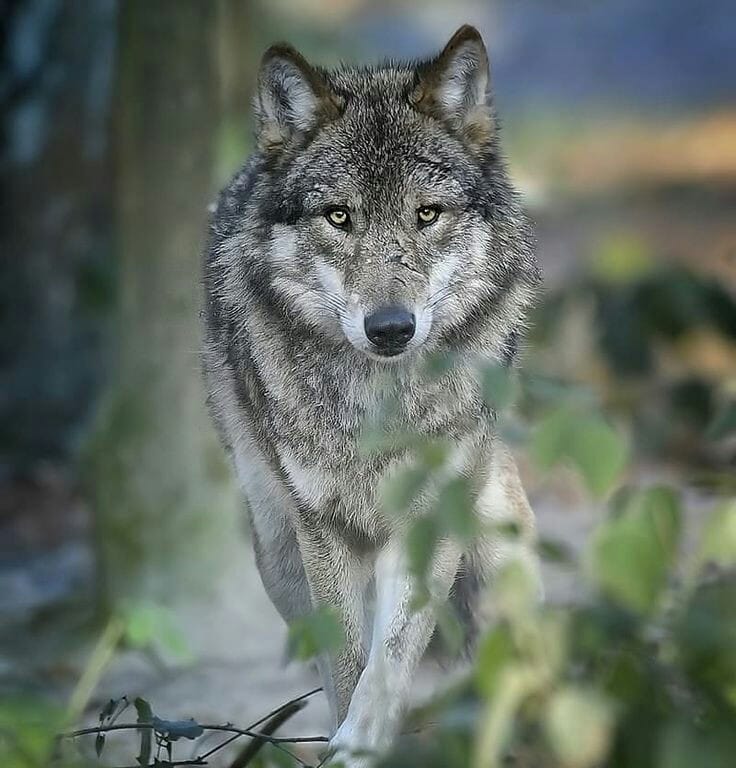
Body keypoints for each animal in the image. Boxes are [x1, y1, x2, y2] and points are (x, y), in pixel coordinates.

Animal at [202, 24, 541, 767]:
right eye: (339, 217)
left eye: (427, 214)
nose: (390, 328)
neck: (380, 405)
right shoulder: (322, 530)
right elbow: (347, 660)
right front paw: (348, 738)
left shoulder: (429, 520)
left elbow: (392, 657)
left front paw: (363, 740)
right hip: (277, 551)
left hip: (500, 548)